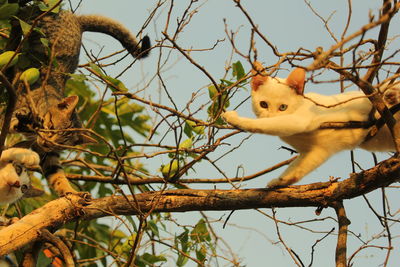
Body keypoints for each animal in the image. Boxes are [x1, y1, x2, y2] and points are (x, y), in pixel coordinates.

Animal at [223, 62, 398, 188]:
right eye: (263, 104)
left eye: (283, 107)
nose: (270, 115)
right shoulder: (318, 151)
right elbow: (297, 168)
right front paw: (280, 182)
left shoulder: (299, 120)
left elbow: (264, 125)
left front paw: (234, 118)